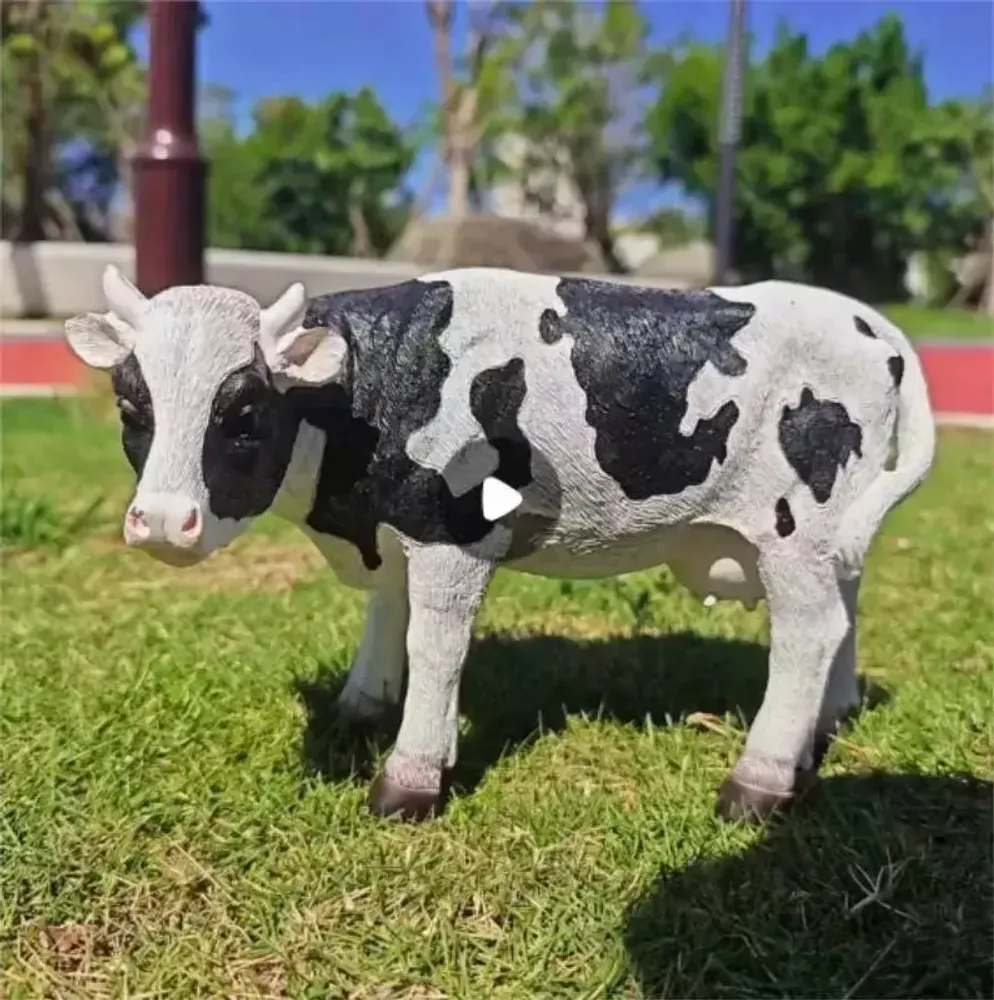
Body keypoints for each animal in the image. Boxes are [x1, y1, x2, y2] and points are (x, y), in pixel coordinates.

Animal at [64, 264, 935, 823]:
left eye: (244, 413)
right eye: (132, 408)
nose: (162, 521)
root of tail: (867, 320)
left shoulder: (453, 538)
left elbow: (437, 647)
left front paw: (411, 779)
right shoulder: (394, 527)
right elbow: (386, 617)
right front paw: (361, 705)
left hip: (795, 531)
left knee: (808, 633)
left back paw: (758, 782)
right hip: (828, 539)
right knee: (844, 613)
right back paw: (822, 730)